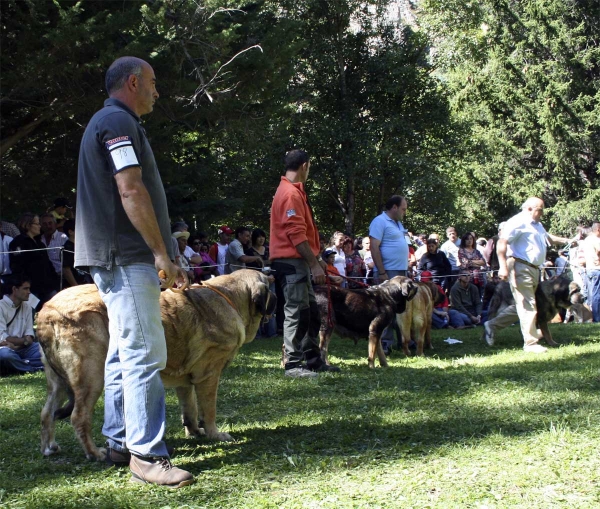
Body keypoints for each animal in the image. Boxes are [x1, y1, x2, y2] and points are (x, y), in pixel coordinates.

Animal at [38, 270, 278, 460]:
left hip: (58, 382)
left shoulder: (186, 379)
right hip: (92, 376)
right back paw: (94, 453)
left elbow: (189, 407)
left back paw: (49, 448)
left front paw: (195, 431)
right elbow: (209, 409)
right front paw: (215, 434)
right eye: (270, 282)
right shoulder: (209, 375)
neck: (230, 299)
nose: (277, 297)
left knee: (47, 412)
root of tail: (46, 313)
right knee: (79, 417)